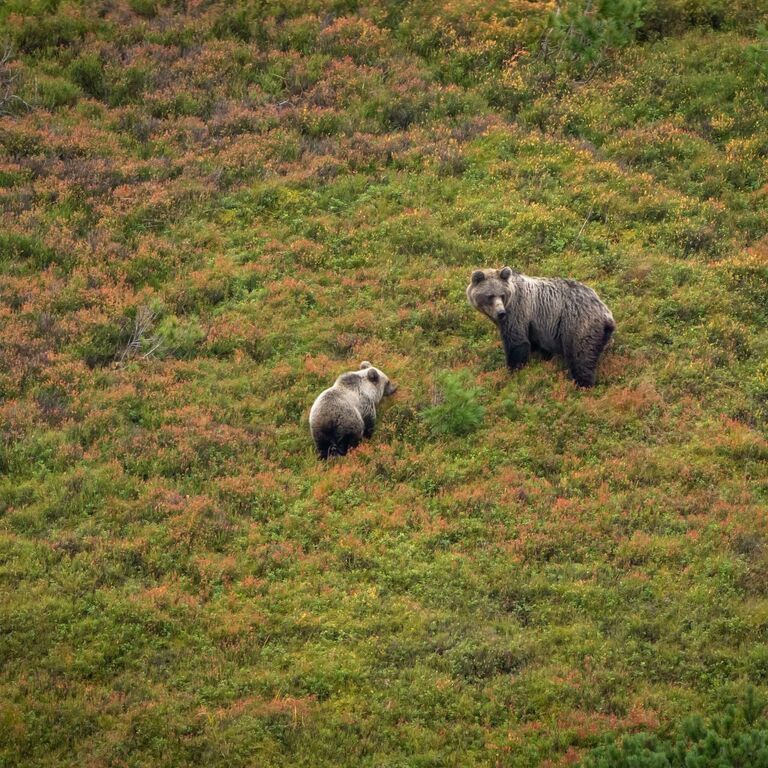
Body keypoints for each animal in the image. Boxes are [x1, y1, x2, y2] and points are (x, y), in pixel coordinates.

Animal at [466, 266, 615, 387]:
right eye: (490, 296)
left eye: (502, 295)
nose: (501, 313)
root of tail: (606, 313)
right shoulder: (535, 326)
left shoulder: (518, 312)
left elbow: (516, 343)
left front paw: (512, 371)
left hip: (578, 324)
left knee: (581, 356)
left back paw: (582, 385)